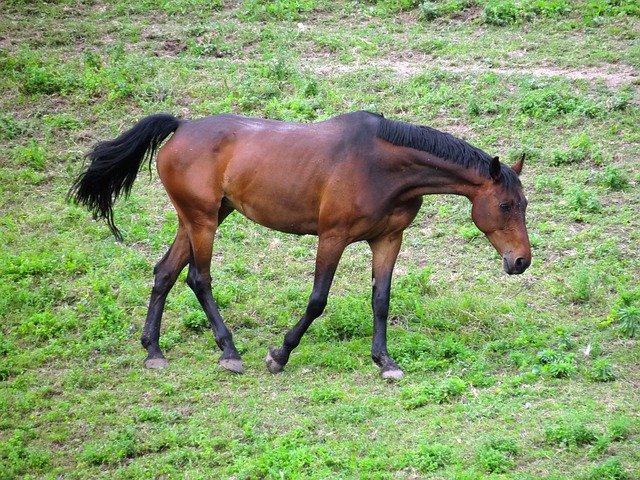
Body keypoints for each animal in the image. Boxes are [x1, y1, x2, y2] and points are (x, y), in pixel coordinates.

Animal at [69, 112, 528, 378]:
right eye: (505, 205)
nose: (521, 261)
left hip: (201, 218)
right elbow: (317, 300)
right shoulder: (333, 237)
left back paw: (153, 351)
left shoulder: (387, 239)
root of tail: (181, 127)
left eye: (524, 204)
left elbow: (381, 300)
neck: (382, 165)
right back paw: (229, 352)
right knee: (198, 278)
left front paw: (385, 362)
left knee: (164, 272)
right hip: (202, 222)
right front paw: (280, 354)